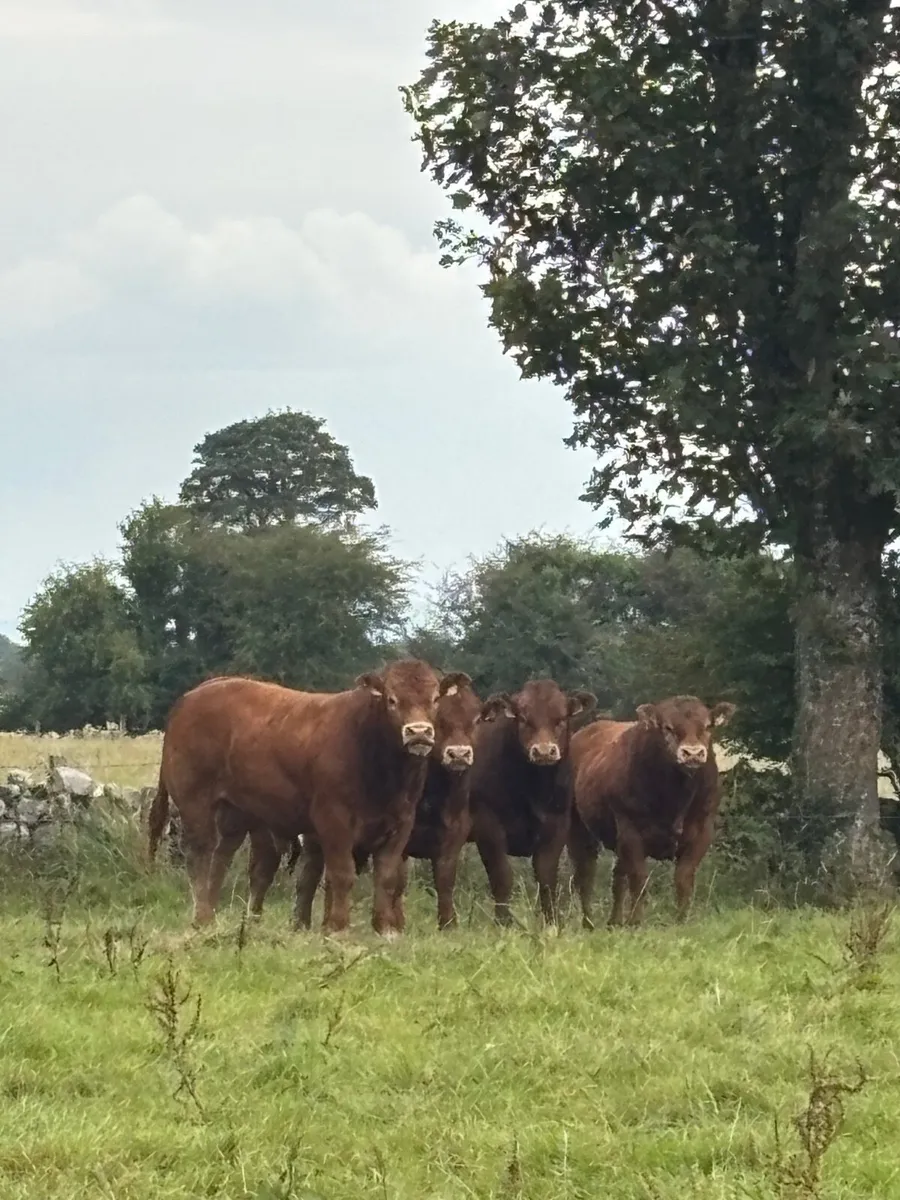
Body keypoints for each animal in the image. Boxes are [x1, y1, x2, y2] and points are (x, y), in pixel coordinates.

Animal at [146, 659, 465, 936]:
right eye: (391, 699)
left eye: (435, 699)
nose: (419, 732)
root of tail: (192, 695)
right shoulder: (333, 819)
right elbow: (342, 873)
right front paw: (338, 927)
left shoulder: (400, 822)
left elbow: (386, 877)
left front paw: (385, 928)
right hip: (196, 801)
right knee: (200, 854)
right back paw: (202, 917)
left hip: (235, 811)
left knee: (221, 856)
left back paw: (210, 918)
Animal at [294, 676, 505, 930]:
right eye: (440, 722)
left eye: (476, 720)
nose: (459, 754)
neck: (437, 799)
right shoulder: (401, 841)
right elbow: (398, 882)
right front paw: (397, 924)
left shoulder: (453, 838)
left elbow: (445, 880)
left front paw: (448, 924)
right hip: (317, 838)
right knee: (312, 877)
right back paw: (305, 923)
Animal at [469, 679, 597, 926]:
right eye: (524, 719)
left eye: (561, 719)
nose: (544, 751)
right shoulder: (487, 825)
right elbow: (502, 876)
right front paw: (503, 922)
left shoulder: (557, 825)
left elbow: (546, 878)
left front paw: (552, 921)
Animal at [568, 695, 737, 928]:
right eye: (668, 727)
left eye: (707, 726)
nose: (692, 753)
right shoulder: (630, 830)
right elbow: (639, 879)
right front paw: (636, 921)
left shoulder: (702, 831)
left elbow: (683, 877)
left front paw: (682, 919)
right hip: (579, 829)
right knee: (585, 874)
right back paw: (589, 922)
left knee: (617, 876)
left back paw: (614, 921)